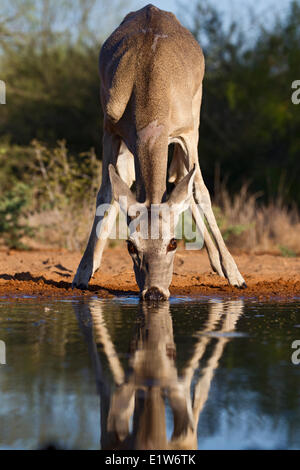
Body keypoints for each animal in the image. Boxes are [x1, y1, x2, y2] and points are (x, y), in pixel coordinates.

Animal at [72, 4, 246, 302]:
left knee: (182, 179)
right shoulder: (110, 128)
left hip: (195, 111)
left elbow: (200, 191)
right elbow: (106, 192)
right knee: (134, 178)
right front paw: (83, 272)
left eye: (173, 243)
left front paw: (235, 275)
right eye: (131, 246)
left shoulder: (188, 132)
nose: (154, 292)